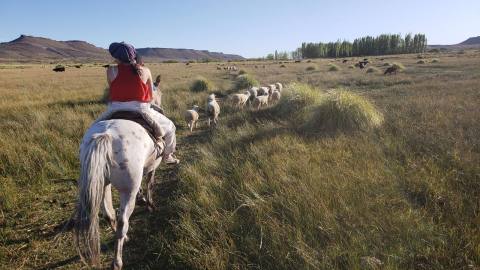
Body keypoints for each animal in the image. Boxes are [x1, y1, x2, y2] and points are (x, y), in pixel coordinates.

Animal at [75, 118, 163, 270]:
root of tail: (106, 135)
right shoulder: (152, 168)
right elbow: (149, 185)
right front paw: (150, 205)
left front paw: (143, 199)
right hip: (127, 192)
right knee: (122, 222)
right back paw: (117, 261)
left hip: (103, 184)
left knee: (109, 215)